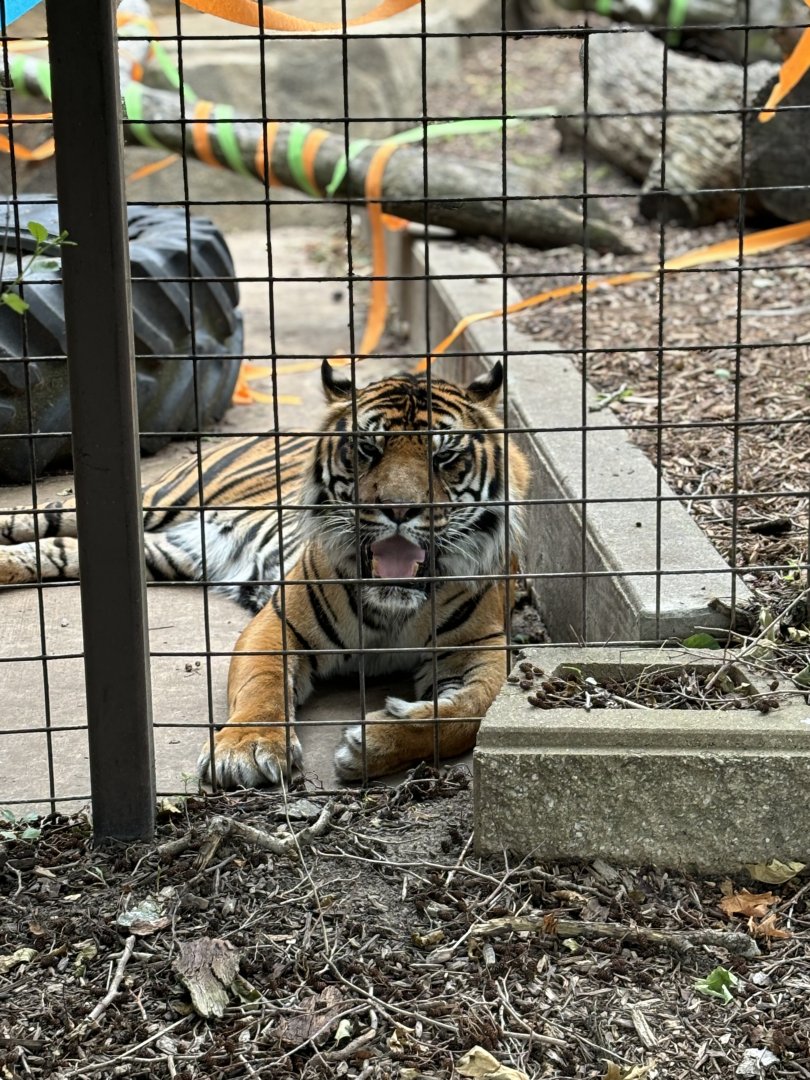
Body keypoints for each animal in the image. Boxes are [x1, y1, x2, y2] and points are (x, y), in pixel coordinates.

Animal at [0, 361, 528, 787]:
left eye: (443, 457)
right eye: (367, 449)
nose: (399, 509)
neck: (394, 605)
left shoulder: (481, 648)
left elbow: (470, 714)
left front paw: (373, 742)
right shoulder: (279, 621)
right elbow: (262, 684)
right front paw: (246, 751)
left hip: (167, 552)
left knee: (57, 549)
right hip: (149, 502)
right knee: (31, 518)